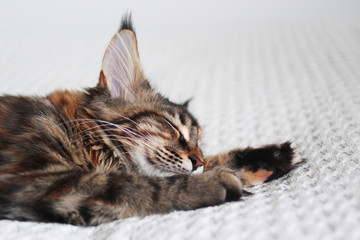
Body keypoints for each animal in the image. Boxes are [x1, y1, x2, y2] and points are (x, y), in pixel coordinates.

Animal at [0, 15, 296, 226]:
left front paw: (265, 158)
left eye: (198, 141)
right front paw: (215, 182)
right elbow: (137, 184)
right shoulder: (36, 180)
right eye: (173, 127)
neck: (73, 130)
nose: (197, 160)